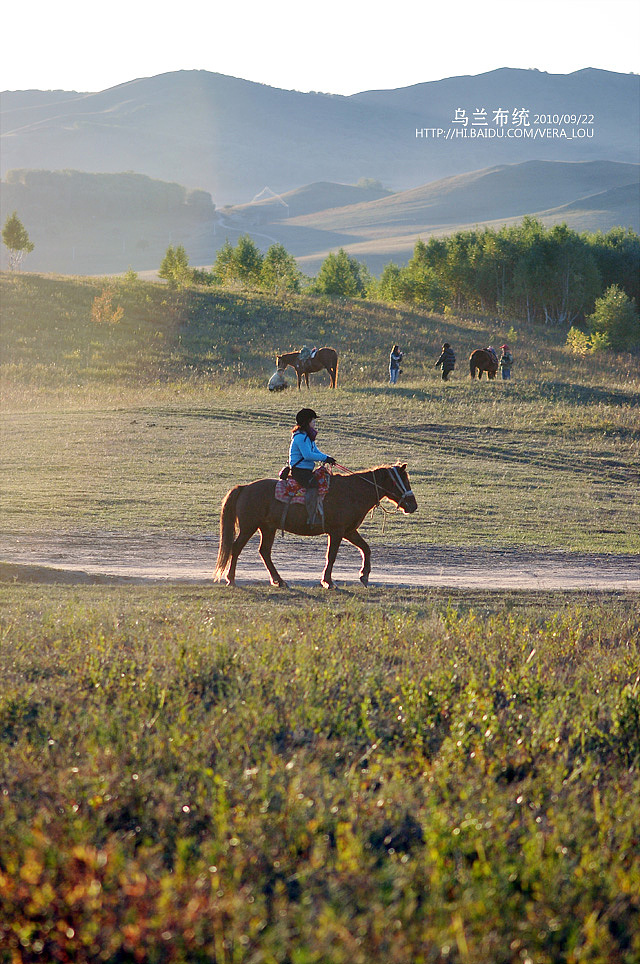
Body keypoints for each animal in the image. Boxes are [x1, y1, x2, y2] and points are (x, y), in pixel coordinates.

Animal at [213, 464, 417, 589]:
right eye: (403, 480)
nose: (413, 505)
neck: (353, 492)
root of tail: (244, 488)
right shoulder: (337, 531)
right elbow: (331, 556)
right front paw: (328, 582)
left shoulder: (349, 531)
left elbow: (366, 548)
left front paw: (364, 576)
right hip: (249, 527)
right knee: (236, 548)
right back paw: (231, 579)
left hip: (268, 528)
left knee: (264, 552)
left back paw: (279, 581)